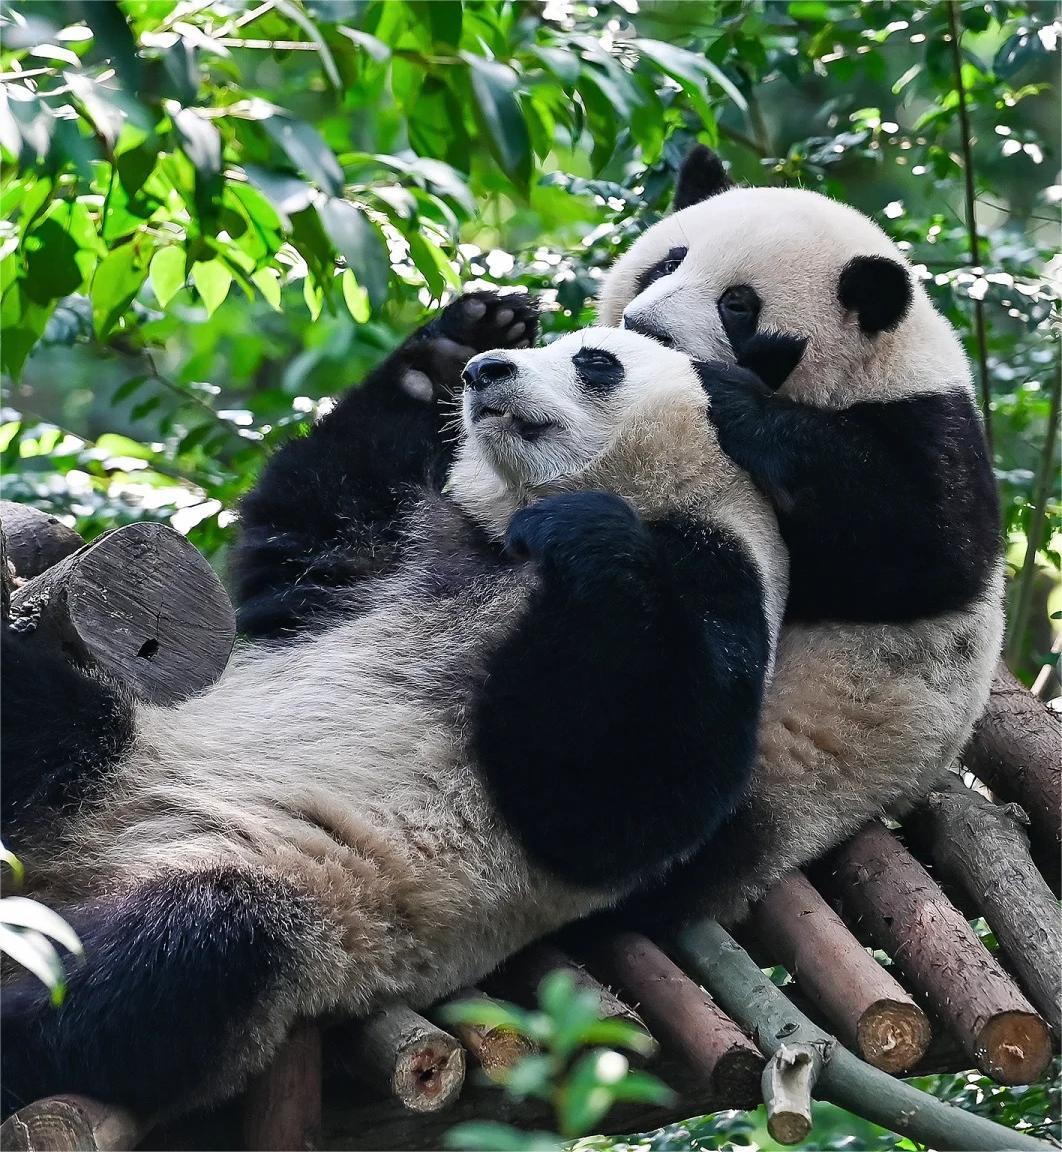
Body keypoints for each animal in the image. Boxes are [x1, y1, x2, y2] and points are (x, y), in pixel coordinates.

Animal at [2, 329, 787, 1119]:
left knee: (182, 953)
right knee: (43, 724)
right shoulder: (408, 544)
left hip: (300, 888)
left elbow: (614, 804)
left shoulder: (716, 569)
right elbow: (305, 540)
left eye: (596, 361)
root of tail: (74, 869)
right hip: (125, 751)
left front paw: (586, 531)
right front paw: (448, 347)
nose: (486, 373)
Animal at [589, 146, 1004, 916]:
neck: (871, 367)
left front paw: (726, 393)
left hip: (804, 765)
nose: (645, 328)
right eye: (666, 264)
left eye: (738, 304)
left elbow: (928, 549)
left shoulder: (930, 423)